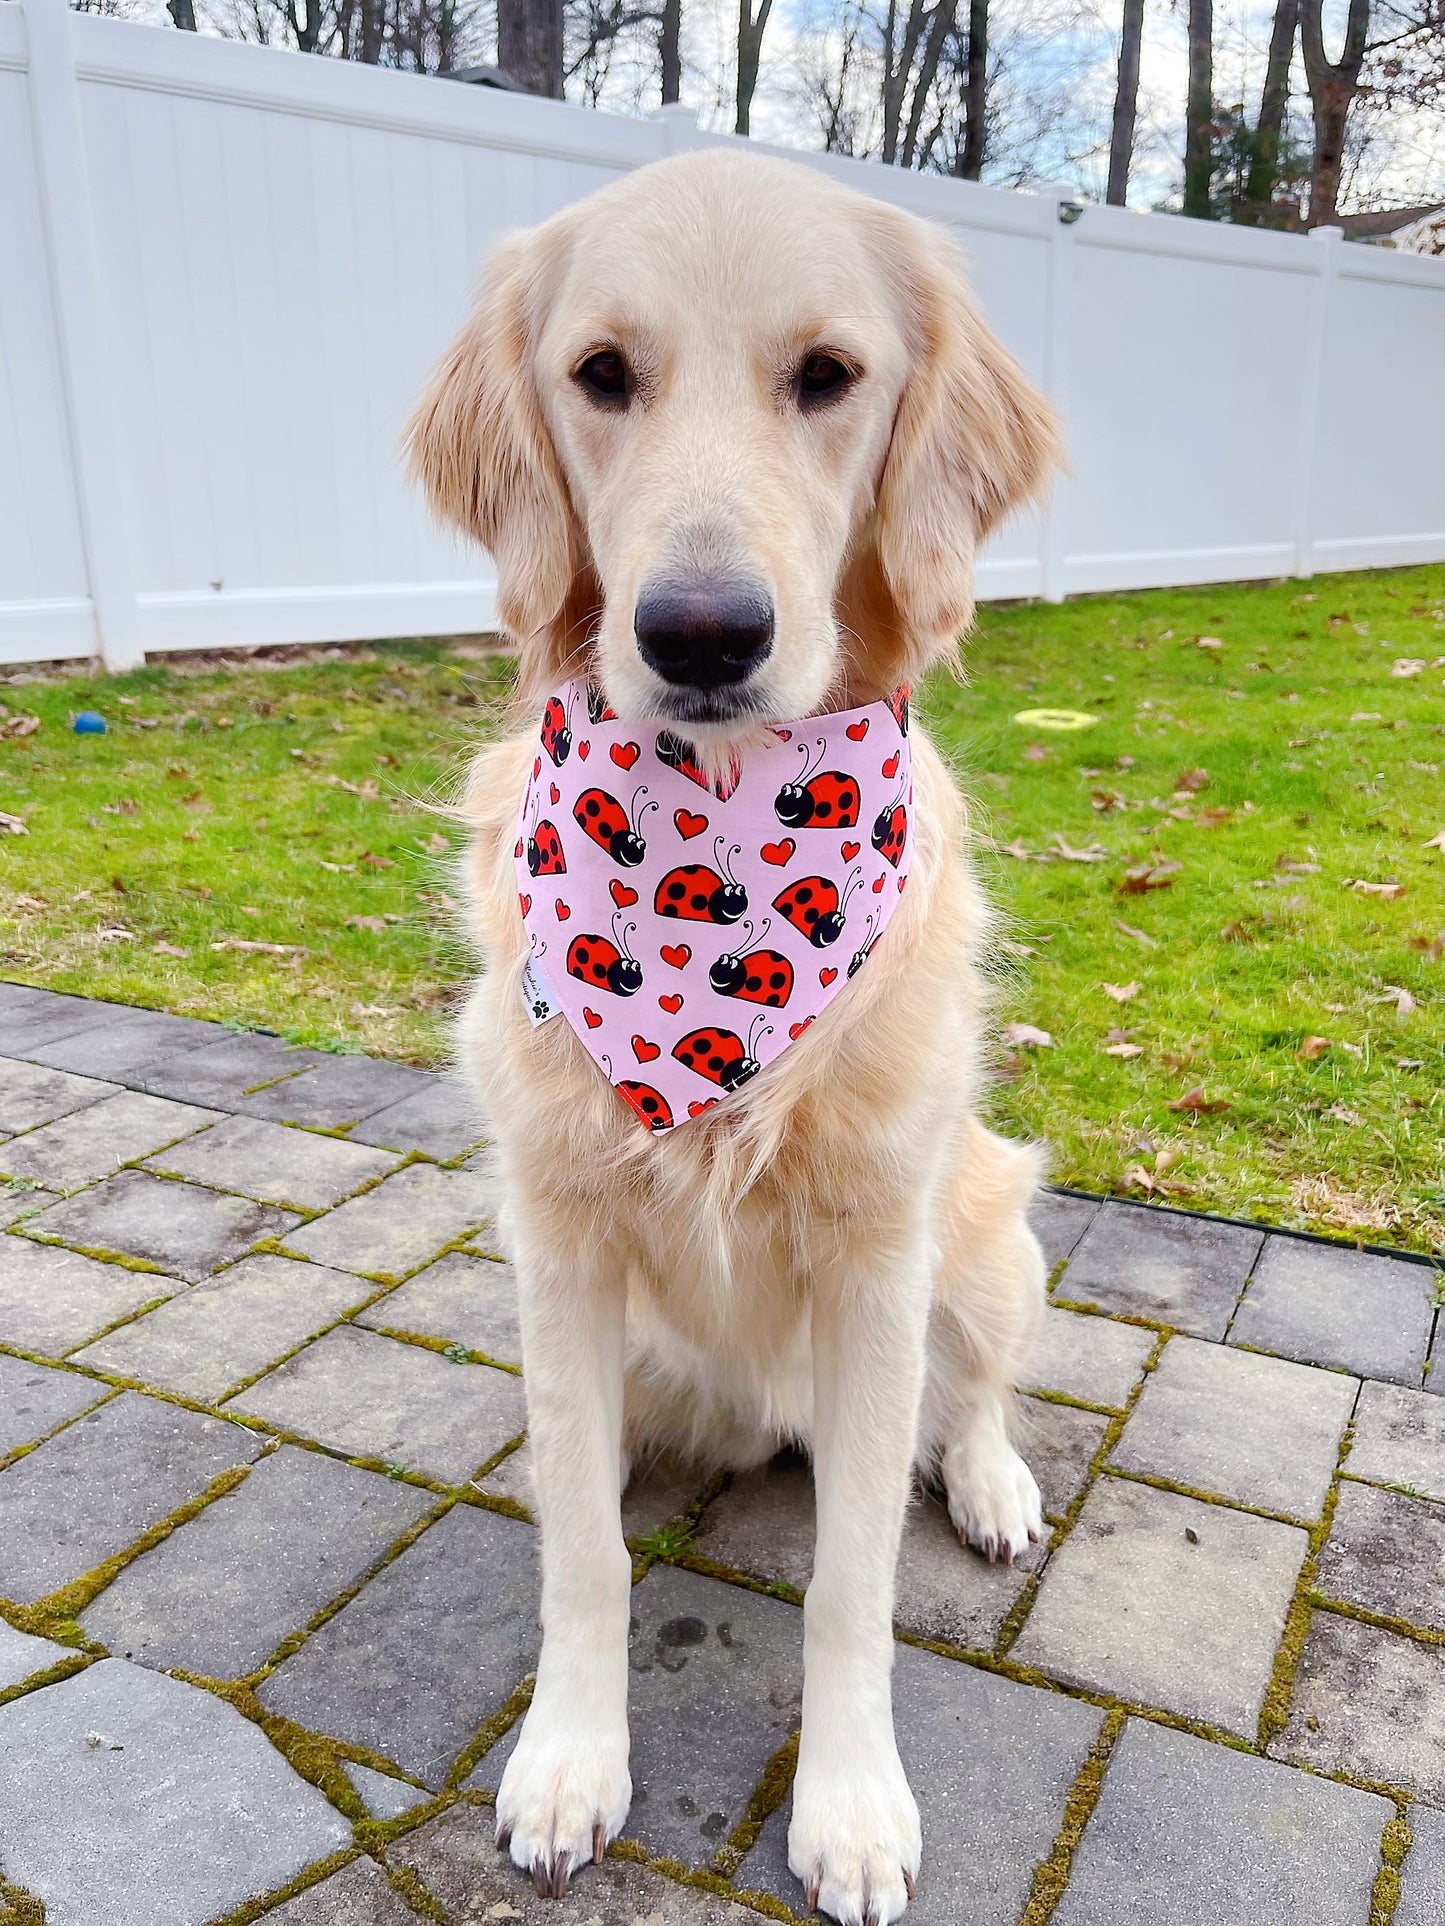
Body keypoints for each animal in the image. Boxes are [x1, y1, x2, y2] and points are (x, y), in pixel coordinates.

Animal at [408, 150, 1063, 1926]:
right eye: (600, 374)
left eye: (827, 376)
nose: (700, 633)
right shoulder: (559, 1248)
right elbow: (579, 1545)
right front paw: (570, 1758)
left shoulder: (878, 1258)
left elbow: (850, 1580)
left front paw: (849, 1804)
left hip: (987, 1228)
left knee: (975, 1395)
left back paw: (990, 1482)